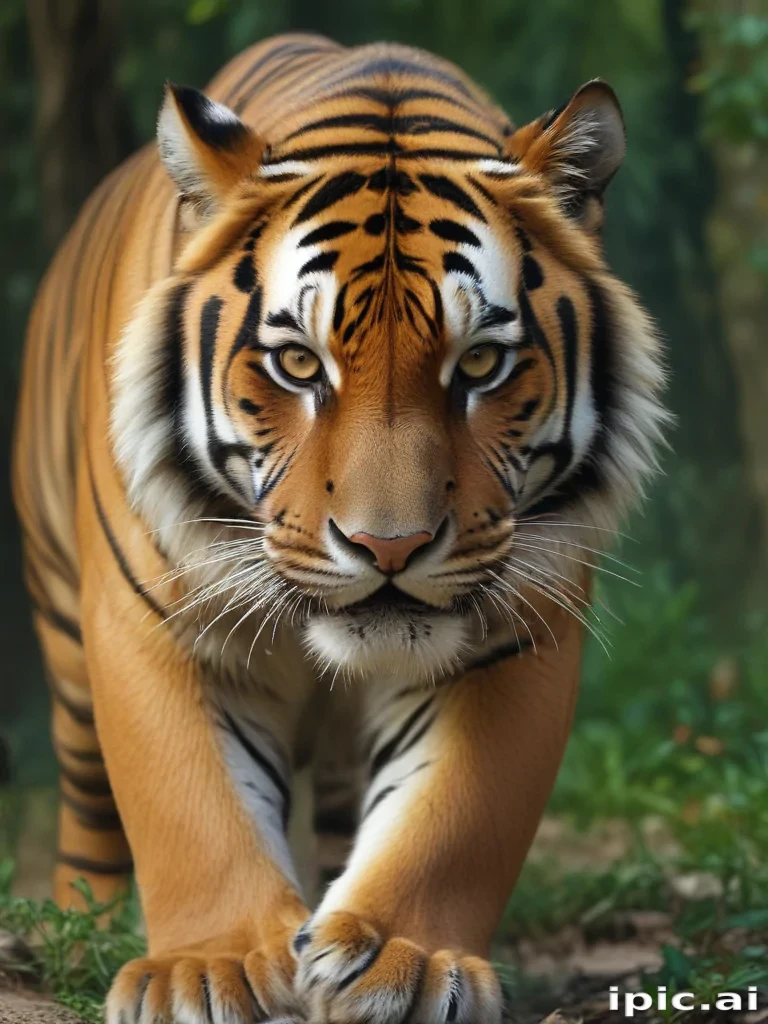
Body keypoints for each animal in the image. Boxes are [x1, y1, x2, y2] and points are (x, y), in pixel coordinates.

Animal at [13, 31, 666, 1024]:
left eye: (480, 363)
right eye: (296, 364)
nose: (388, 547)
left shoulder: (519, 627)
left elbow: (454, 812)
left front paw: (405, 959)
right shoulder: (151, 619)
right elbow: (191, 806)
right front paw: (210, 967)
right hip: (63, 639)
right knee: (90, 806)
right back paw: (75, 931)